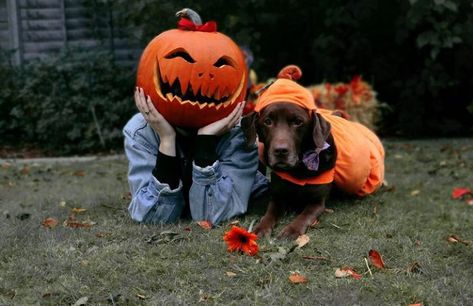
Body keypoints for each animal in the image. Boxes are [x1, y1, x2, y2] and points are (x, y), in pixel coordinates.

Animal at [242, 102, 338, 239]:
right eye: (267, 121)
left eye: (298, 122)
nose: (280, 151)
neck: (298, 169)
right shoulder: (277, 196)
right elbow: (269, 213)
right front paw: (261, 227)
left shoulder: (318, 202)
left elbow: (305, 215)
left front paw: (292, 230)